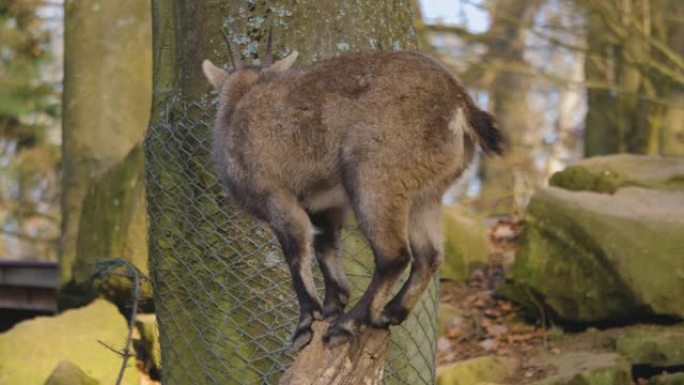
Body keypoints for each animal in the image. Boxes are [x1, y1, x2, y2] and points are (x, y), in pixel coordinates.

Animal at [202, 33, 502, 350]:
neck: (239, 106)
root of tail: (460, 104)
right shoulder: (323, 207)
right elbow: (326, 247)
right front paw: (333, 306)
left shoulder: (277, 196)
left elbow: (296, 252)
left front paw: (306, 325)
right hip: (426, 194)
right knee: (429, 255)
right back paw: (389, 314)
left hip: (375, 181)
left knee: (394, 256)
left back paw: (347, 326)